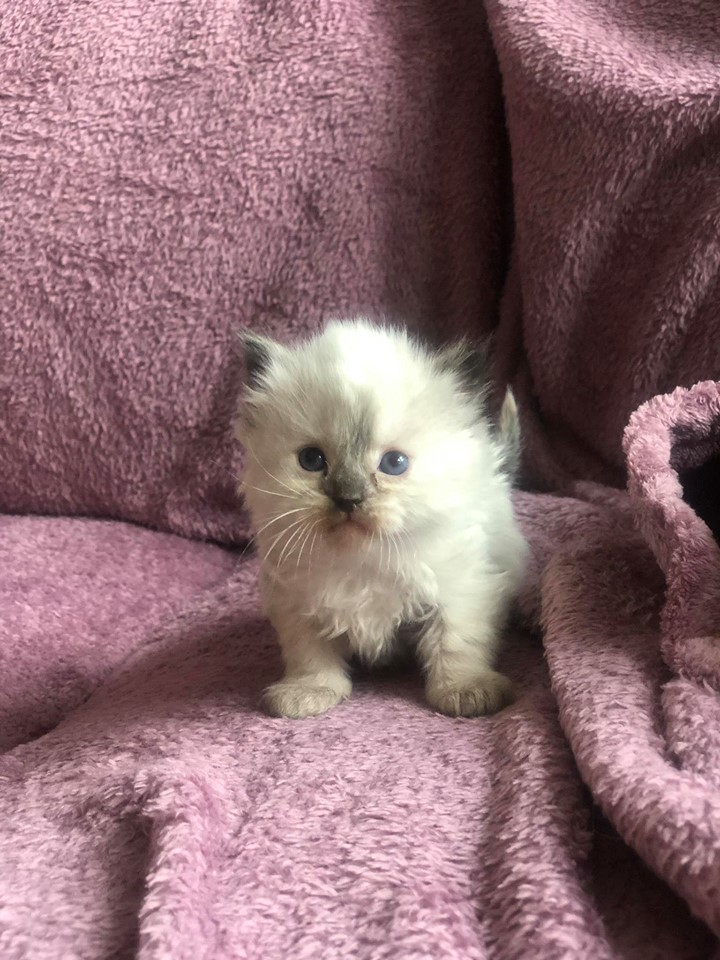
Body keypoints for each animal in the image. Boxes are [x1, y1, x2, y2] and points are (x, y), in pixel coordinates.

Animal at [236, 319, 528, 718]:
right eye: (311, 460)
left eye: (394, 463)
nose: (348, 499)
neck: (363, 562)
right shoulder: (298, 604)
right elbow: (309, 655)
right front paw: (310, 692)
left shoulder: (462, 590)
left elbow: (456, 643)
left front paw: (465, 689)